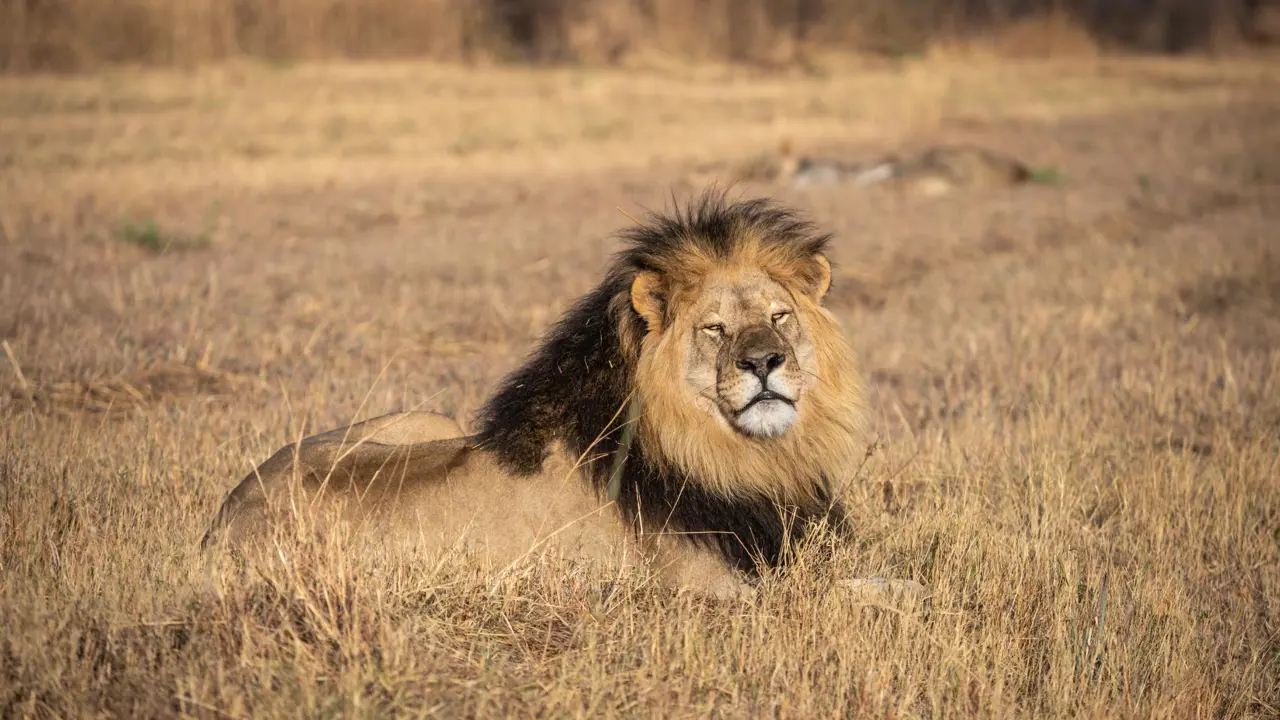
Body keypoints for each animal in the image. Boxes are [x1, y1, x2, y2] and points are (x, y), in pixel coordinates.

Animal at [202, 192, 927, 605]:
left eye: (779, 317)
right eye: (715, 329)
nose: (764, 362)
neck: (744, 455)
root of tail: (221, 518)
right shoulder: (711, 588)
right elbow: (846, 596)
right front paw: (918, 594)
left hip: (430, 419)